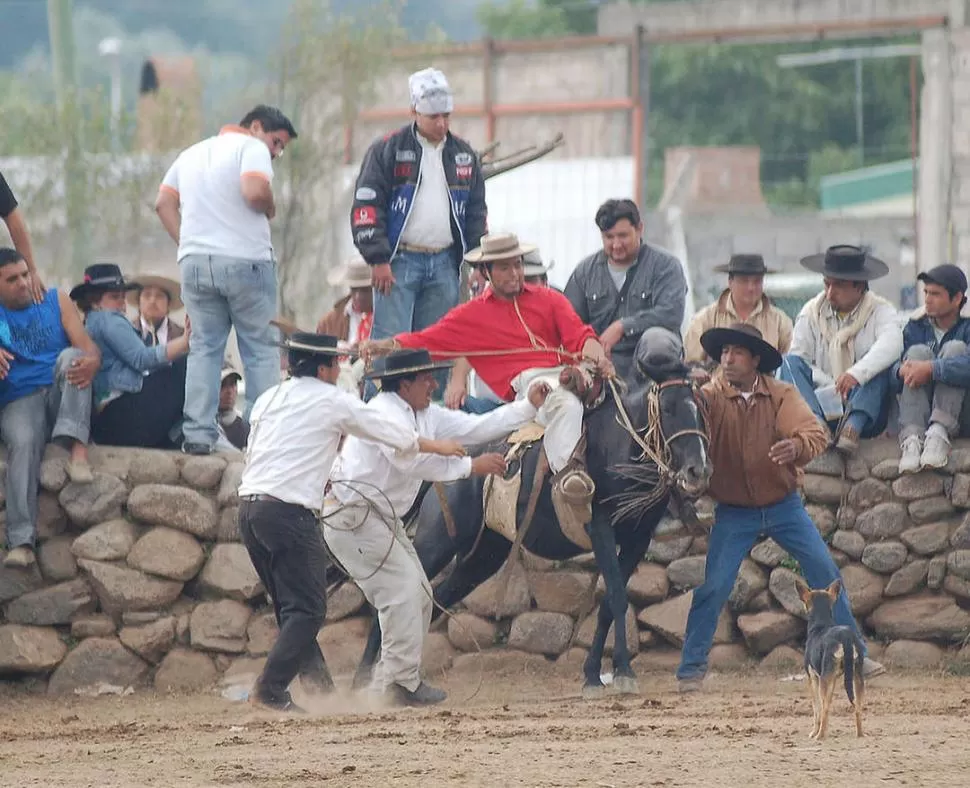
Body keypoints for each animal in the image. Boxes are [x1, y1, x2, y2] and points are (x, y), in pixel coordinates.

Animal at [796, 580, 864, 740]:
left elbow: (817, 709)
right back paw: (860, 734)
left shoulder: (813, 678)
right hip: (857, 676)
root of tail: (846, 636)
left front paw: (814, 732)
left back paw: (819, 736)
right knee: (858, 707)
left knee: (825, 708)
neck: (821, 624)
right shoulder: (831, 679)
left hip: (823, 680)